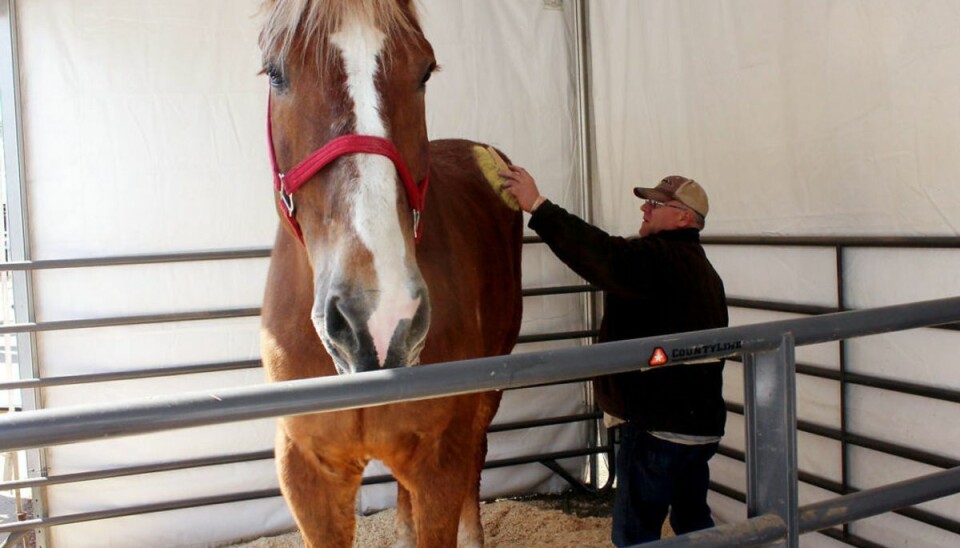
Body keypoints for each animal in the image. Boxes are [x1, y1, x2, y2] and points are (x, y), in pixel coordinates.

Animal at [256, 2, 524, 544]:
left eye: (424, 71)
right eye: (275, 73)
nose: (378, 321)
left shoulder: (441, 460)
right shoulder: (307, 472)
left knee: (478, 452)